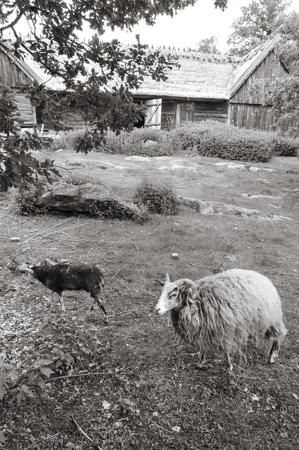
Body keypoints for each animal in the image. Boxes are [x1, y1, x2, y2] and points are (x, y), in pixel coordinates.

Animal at [155, 268, 288, 370]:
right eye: (161, 292)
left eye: (173, 295)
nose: (156, 310)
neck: (196, 303)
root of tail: (264, 278)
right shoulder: (205, 328)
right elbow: (203, 346)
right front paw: (201, 362)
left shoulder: (225, 328)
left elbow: (226, 349)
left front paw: (229, 366)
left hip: (273, 318)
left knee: (278, 335)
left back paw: (272, 357)